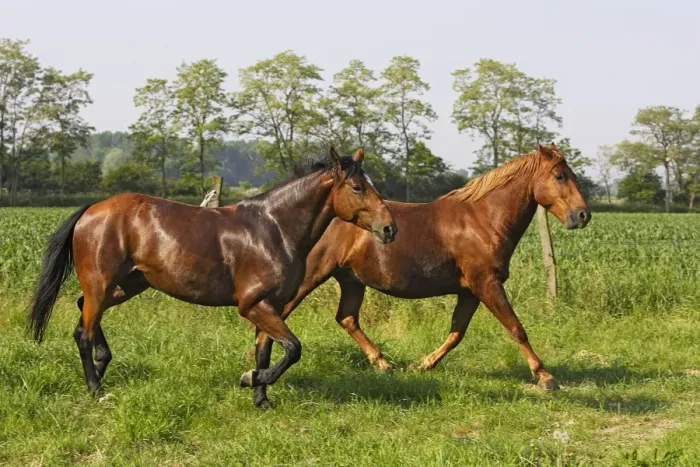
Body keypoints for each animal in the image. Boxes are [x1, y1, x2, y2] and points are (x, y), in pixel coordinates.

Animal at [27, 147, 397, 404]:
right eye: (357, 187)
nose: (389, 229)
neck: (273, 228)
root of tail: (91, 210)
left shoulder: (271, 305)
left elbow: (266, 351)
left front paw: (260, 398)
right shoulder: (253, 305)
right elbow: (293, 349)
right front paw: (250, 379)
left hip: (127, 284)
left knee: (83, 311)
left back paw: (103, 365)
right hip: (102, 284)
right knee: (83, 333)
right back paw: (96, 389)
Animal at [251, 143, 591, 407]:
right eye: (559, 175)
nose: (583, 215)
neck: (483, 220)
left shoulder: (470, 291)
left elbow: (456, 333)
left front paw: (423, 365)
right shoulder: (486, 284)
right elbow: (516, 328)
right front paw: (545, 377)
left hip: (351, 280)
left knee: (346, 318)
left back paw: (383, 363)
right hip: (311, 277)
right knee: (276, 315)